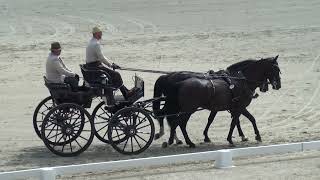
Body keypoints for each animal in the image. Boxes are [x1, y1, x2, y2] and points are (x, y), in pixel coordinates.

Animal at [152, 56, 280, 148]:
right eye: (276, 69)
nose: (278, 85)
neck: (240, 80)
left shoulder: (228, 108)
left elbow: (233, 120)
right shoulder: (240, 107)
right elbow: (238, 121)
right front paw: (234, 139)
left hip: (180, 107)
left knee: (171, 119)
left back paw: (175, 140)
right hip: (187, 109)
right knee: (177, 122)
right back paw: (181, 141)